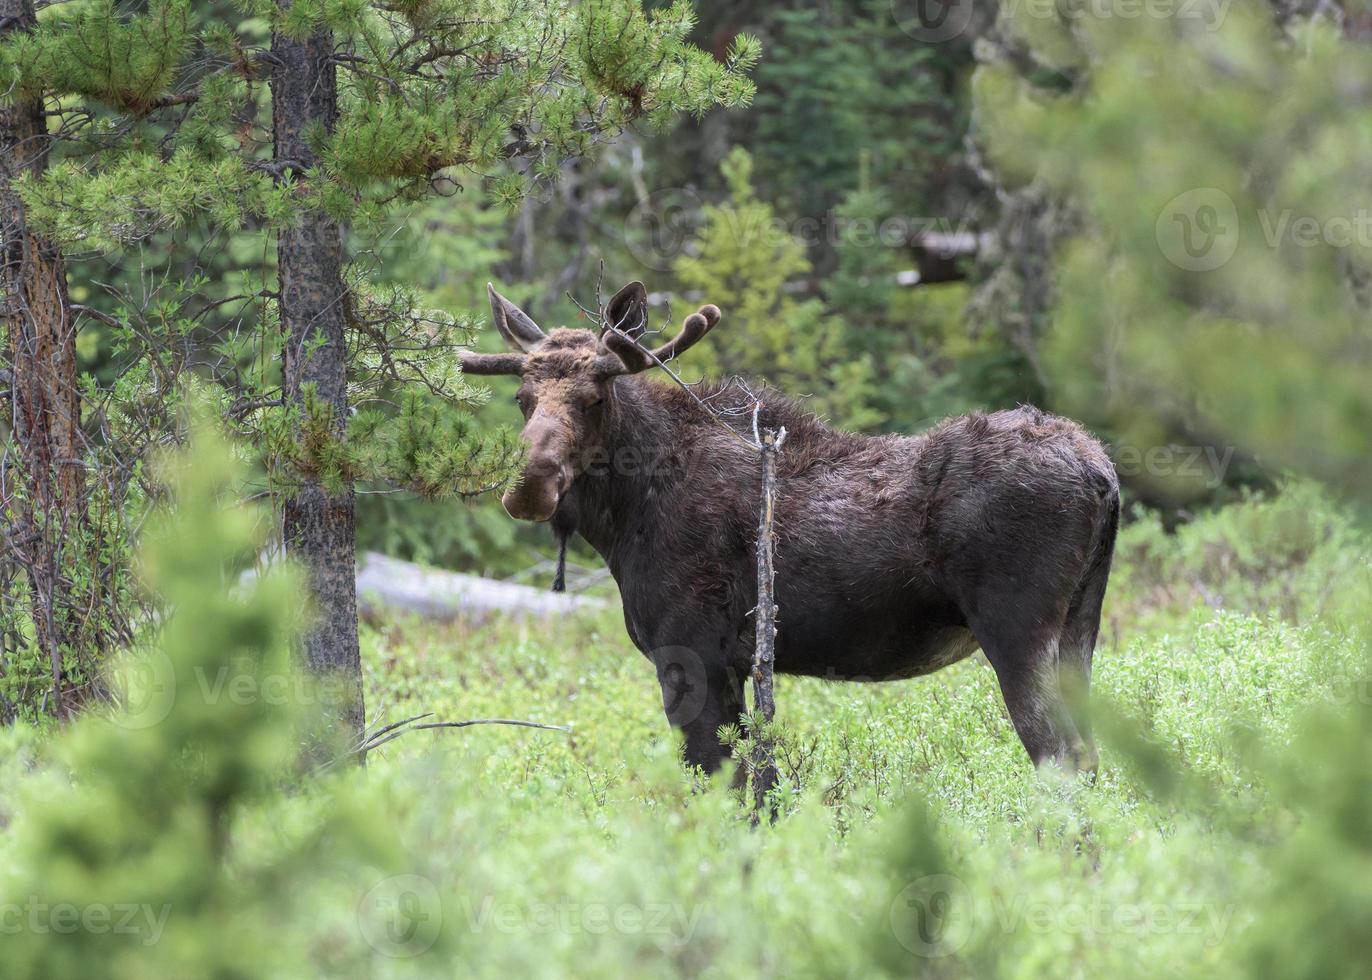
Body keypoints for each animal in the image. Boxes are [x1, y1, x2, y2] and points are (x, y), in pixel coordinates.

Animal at [460, 280, 1125, 768]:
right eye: (522, 398)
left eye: (595, 397)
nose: (530, 485)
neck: (624, 519)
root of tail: (1104, 473)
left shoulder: (689, 652)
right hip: (1079, 627)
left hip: (1016, 628)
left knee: (1064, 758)